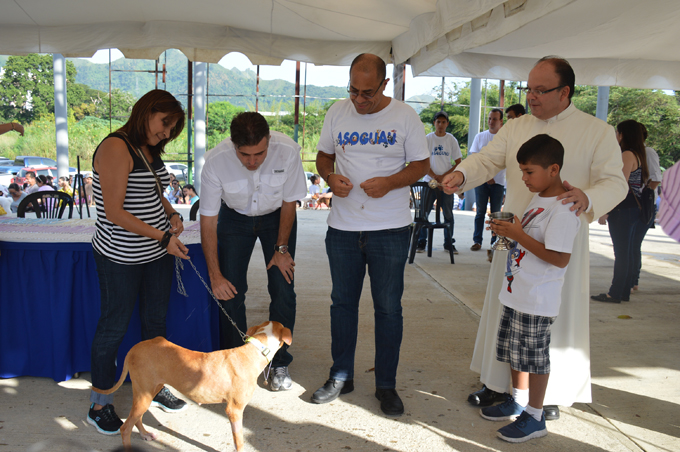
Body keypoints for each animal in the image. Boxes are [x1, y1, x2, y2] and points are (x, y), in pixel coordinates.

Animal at [91, 320, 290, 450]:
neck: (254, 351)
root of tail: (135, 347)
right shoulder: (234, 410)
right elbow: (239, 440)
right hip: (144, 394)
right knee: (125, 428)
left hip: (146, 391)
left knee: (136, 418)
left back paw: (145, 434)